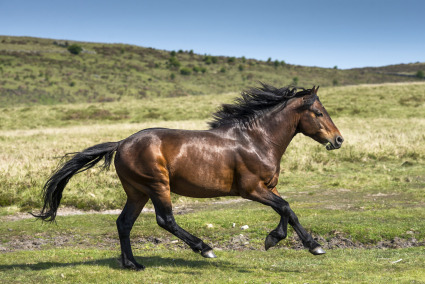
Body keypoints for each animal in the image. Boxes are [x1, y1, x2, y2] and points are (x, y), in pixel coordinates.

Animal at [34, 83, 344, 270]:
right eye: (318, 112)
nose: (338, 139)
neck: (256, 140)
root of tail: (121, 143)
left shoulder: (269, 187)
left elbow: (287, 210)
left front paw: (278, 240)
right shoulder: (252, 189)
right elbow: (286, 207)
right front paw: (312, 246)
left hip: (137, 192)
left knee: (124, 223)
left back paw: (132, 264)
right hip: (157, 185)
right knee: (166, 220)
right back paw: (203, 248)